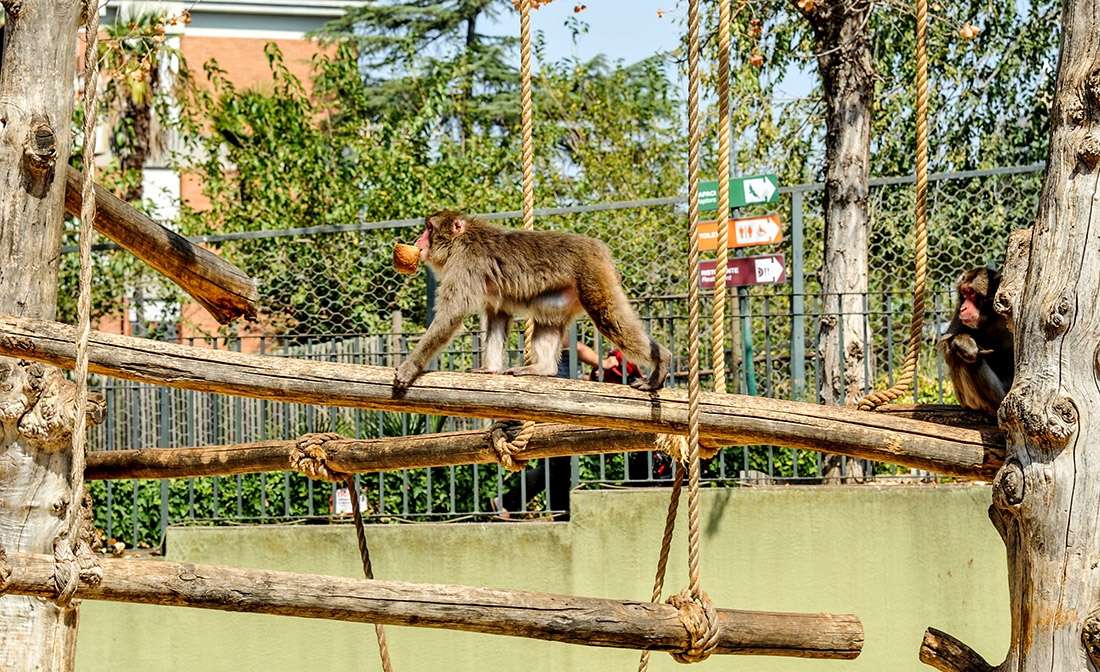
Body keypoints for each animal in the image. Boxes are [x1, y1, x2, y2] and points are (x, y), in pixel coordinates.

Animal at [396, 207, 668, 391]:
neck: (460, 241)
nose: (419, 240)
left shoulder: (465, 265)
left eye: (429, 228)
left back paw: (661, 361)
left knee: (608, 318)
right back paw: (543, 369)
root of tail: (599, 249)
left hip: (593, 277)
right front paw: (489, 367)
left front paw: (410, 367)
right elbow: (498, 316)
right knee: (548, 319)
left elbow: (451, 315)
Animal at [937, 267, 1012, 415]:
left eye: (971, 293)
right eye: (963, 293)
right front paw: (964, 344)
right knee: (967, 361)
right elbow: (945, 344)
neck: (990, 316)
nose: (964, 308)